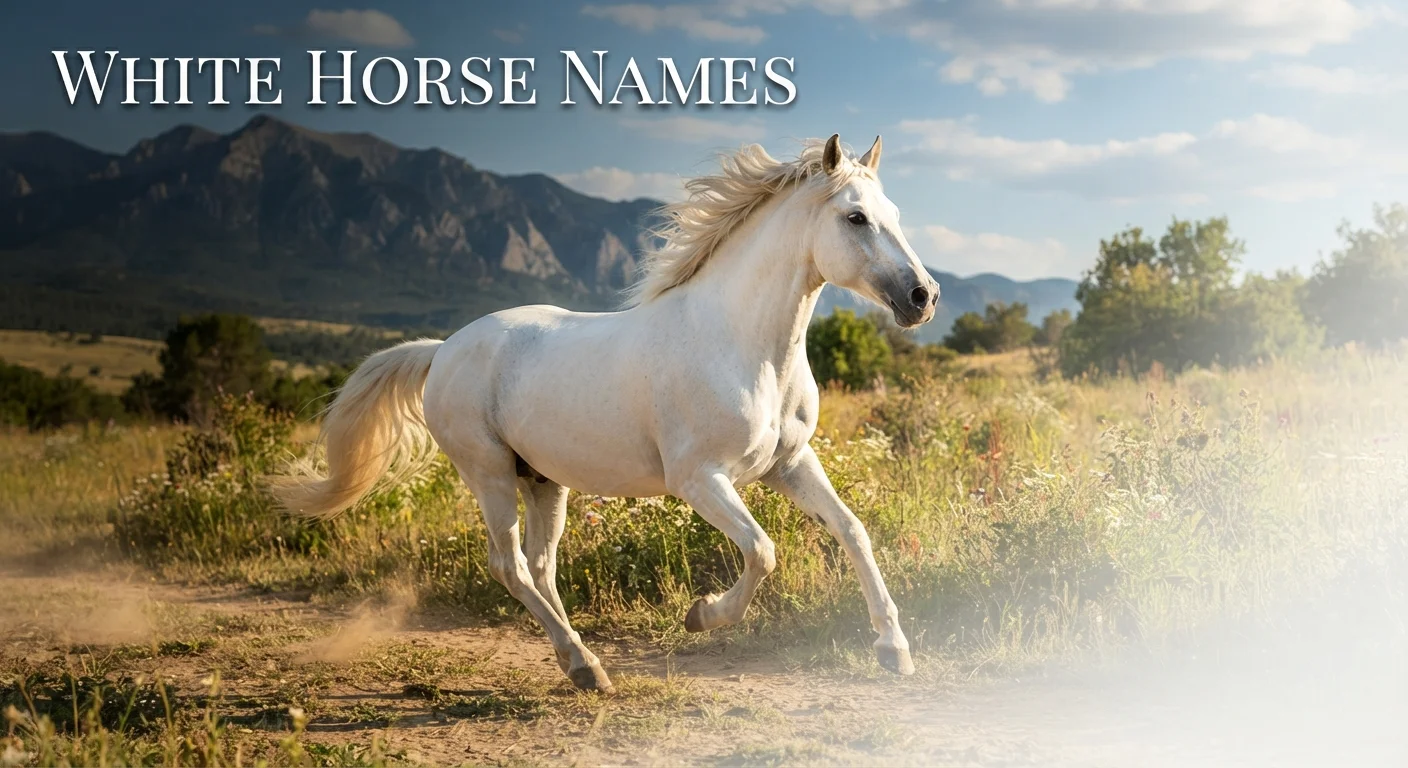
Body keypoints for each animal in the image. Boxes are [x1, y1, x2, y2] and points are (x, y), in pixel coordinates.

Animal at [269, 134, 940, 692]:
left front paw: (894, 649)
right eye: (854, 217)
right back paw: (585, 665)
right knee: (510, 566)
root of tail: (442, 350)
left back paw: (582, 664)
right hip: (488, 474)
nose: (923, 297)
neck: (742, 345)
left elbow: (851, 530)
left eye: (895, 215)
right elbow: (762, 550)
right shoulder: (700, 480)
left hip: (543, 481)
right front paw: (702, 614)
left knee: (541, 568)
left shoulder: (790, 464)